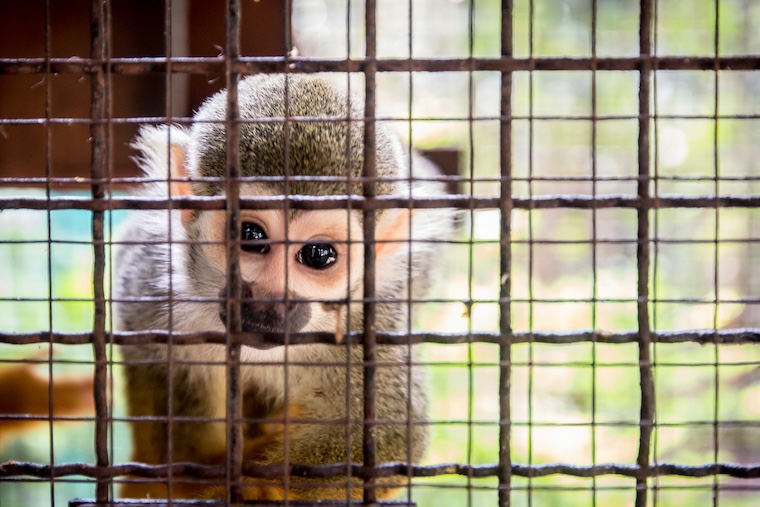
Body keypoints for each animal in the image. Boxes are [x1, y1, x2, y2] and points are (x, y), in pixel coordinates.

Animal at [113, 73, 452, 501]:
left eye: (319, 255)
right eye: (250, 235)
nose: (268, 300)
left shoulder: (369, 328)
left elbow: (391, 439)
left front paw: (254, 488)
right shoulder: (150, 284)